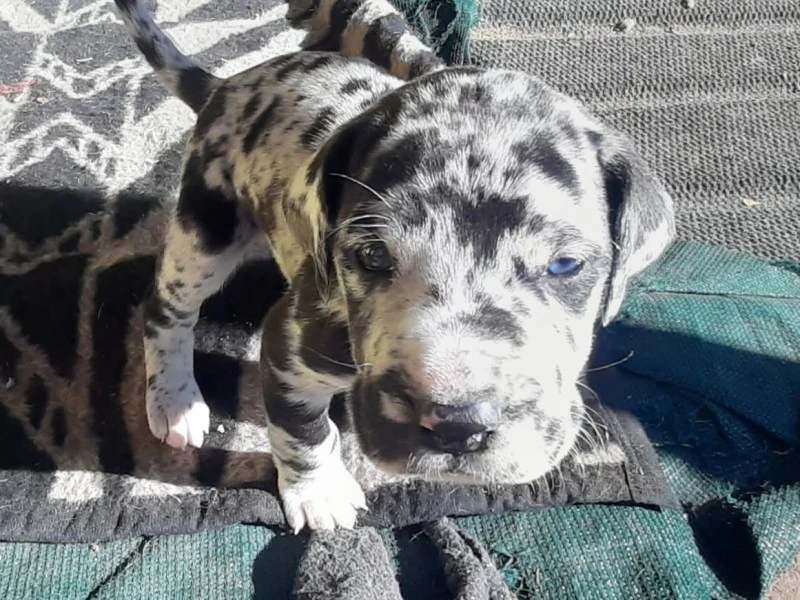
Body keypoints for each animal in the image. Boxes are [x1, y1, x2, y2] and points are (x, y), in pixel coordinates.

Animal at [114, 0, 676, 536]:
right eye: (373, 255)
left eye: (564, 264)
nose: (457, 426)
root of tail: (226, 85)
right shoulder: (287, 346)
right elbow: (302, 432)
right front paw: (318, 492)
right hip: (206, 231)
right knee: (164, 311)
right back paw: (174, 400)